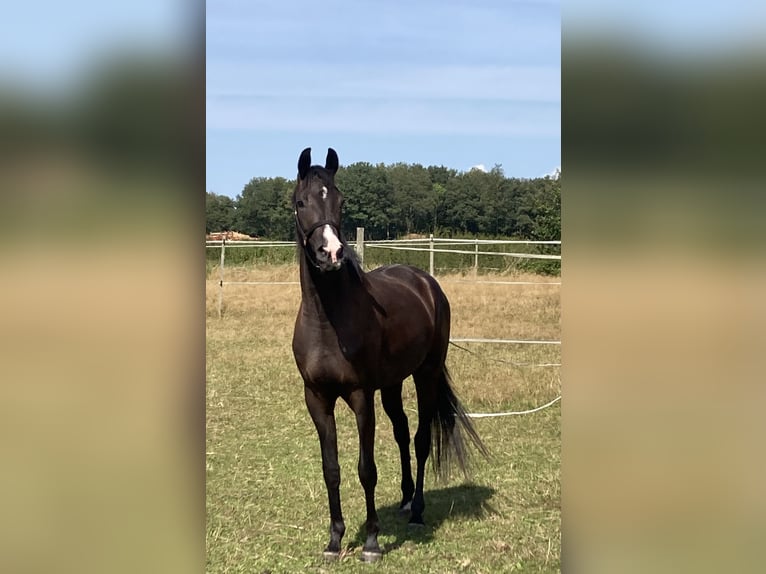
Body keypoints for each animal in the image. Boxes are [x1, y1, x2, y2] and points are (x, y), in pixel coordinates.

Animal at [292, 147, 488, 564]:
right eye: (301, 202)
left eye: (340, 200)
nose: (331, 252)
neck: (329, 320)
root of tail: (425, 282)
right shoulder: (317, 398)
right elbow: (331, 468)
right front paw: (334, 540)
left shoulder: (360, 397)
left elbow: (366, 469)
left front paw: (371, 543)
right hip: (393, 385)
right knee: (401, 432)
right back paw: (404, 498)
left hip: (426, 374)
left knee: (420, 438)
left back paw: (416, 511)